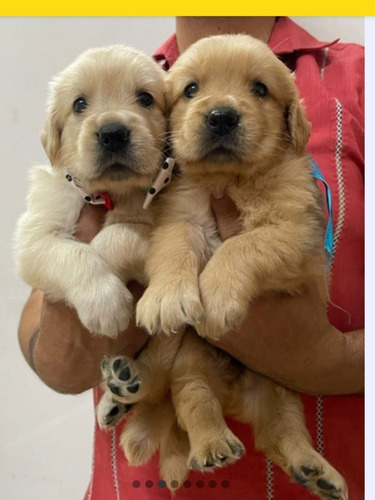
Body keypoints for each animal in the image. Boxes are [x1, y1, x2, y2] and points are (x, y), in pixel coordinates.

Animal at [14, 45, 167, 338]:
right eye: (79, 104)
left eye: (145, 98)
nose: (113, 134)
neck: (109, 193)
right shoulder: (36, 236)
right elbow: (74, 253)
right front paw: (105, 301)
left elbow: (120, 235)